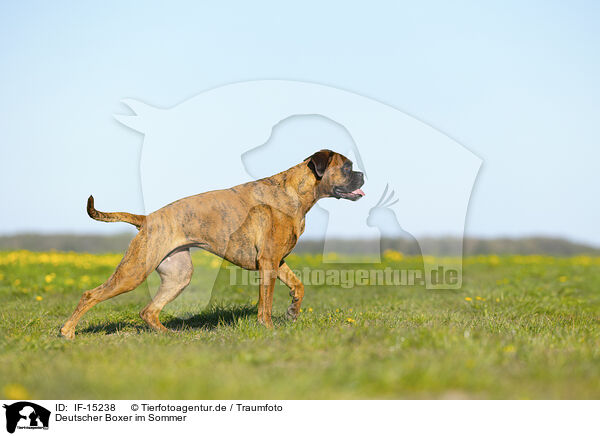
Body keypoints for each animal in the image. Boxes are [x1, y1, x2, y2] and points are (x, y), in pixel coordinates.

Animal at [59, 151, 366, 340]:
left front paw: (292, 311)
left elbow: (298, 286)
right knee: (90, 295)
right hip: (133, 272)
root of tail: (146, 219)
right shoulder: (268, 264)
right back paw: (67, 332)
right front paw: (266, 328)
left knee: (148, 311)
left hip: (178, 276)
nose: (363, 174)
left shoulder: (278, 262)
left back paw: (170, 336)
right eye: (347, 167)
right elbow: (265, 303)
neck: (295, 192)